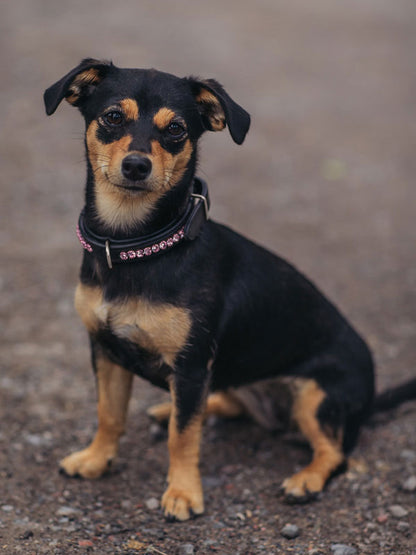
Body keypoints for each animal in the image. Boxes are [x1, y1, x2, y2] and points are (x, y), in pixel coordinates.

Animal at [44, 59, 376, 520]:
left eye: (176, 129)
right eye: (112, 117)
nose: (136, 166)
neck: (135, 245)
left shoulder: (190, 364)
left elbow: (183, 436)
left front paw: (183, 493)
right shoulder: (106, 350)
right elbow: (109, 414)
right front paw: (95, 460)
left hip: (316, 395)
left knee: (335, 451)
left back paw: (305, 480)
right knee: (224, 403)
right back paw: (167, 408)